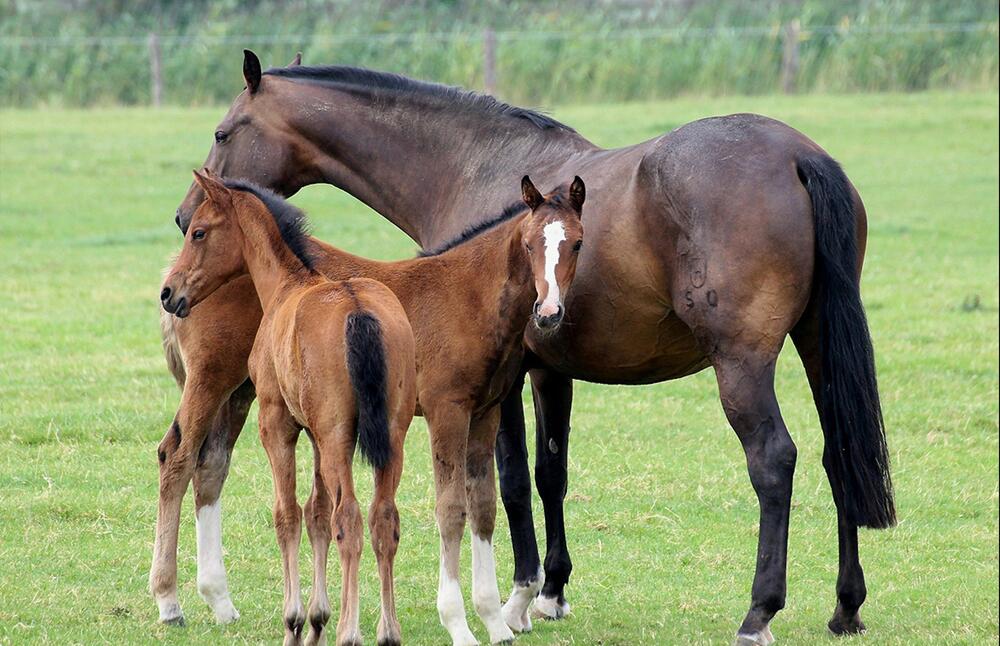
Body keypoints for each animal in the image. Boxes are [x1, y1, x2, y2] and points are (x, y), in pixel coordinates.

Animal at [161, 172, 418, 646]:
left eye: (199, 232)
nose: (169, 293)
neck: (288, 285)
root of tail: (359, 311)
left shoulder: (277, 423)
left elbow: (288, 515)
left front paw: (296, 621)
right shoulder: (314, 434)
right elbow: (316, 513)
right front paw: (317, 618)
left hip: (338, 438)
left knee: (350, 519)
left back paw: (350, 631)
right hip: (390, 436)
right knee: (382, 520)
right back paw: (387, 632)